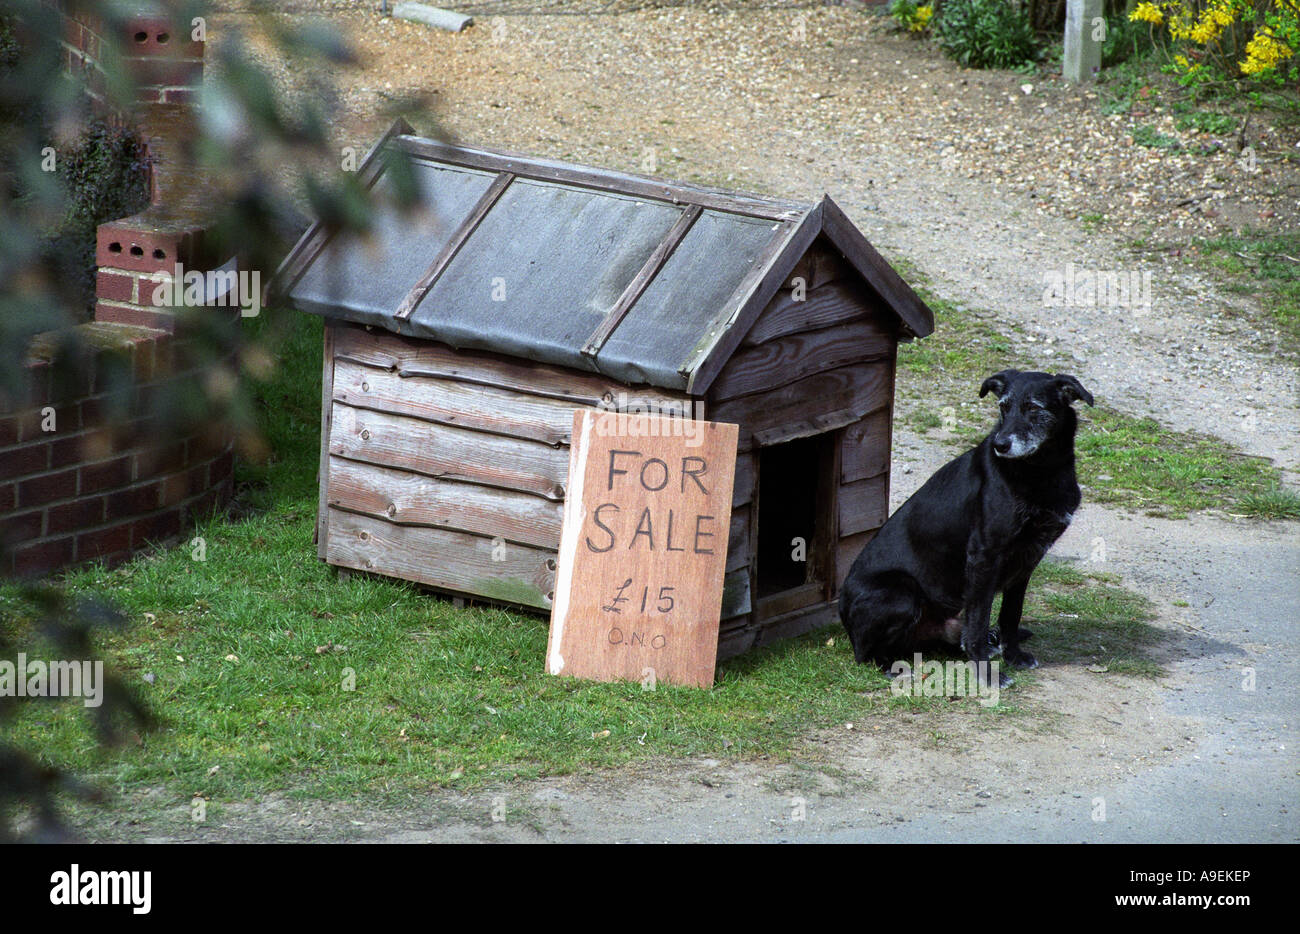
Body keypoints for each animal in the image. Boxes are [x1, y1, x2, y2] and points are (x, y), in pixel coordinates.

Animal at [837, 372, 1092, 686]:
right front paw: (987, 672)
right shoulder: (985, 556)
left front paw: (1013, 655)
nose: (1000, 445)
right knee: (865, 653)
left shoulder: (1028, 559)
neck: (1040, 471)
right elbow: (978, 621)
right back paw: (892, 665)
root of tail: (843, 617)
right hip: (902, 593)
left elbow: (1011, 614)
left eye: (1033, 408)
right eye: (1003, 407)